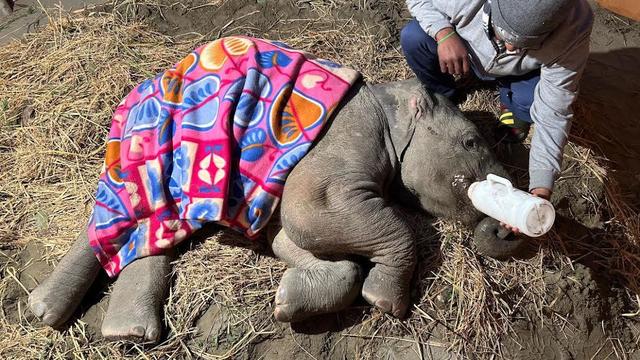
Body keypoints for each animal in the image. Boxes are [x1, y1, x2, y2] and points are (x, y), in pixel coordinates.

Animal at [27, 38, 510, 344]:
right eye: (472, 142)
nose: (504, 228)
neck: (389, 100)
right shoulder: (346, 138)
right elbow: (309, 211)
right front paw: (385, 302)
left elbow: (289, 237)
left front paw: (285, 301)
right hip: (150, 140)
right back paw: (79, 321)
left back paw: (102, 325)